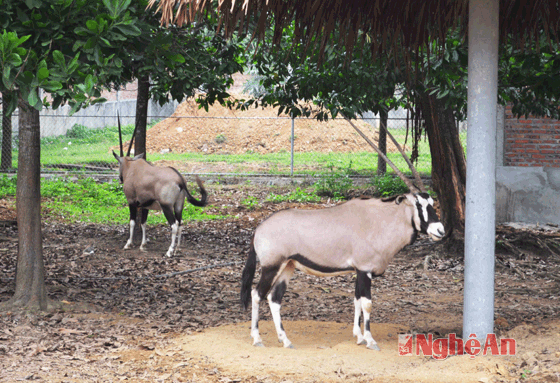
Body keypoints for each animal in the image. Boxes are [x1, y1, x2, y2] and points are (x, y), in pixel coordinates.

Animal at [112, 117, 207, 258]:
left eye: (118, 164)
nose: (120, 179)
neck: (131, 167)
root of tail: (179, 179)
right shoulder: (145, 205)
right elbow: (143, 223)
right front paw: (142, 245)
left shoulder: (132, 202)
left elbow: (132, 222)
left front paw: (128, 244)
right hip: (179, 205)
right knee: (180, 224)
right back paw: (177, 249)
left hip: (166, 206)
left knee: (174, 225)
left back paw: (169, 251)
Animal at [241, 120, 446, 352]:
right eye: (419, 204)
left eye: (432, 202)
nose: (440, 230)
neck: (380, 220)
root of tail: (259, 228)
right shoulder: (365, 270)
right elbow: (367, 303)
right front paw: (370, 340)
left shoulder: (359, 271)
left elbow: (356, 300)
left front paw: (359, 336)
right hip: (271, 266)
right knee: (257, 294)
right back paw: (257, 338)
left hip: (287, 267)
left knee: (274, 299)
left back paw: (285, 340)